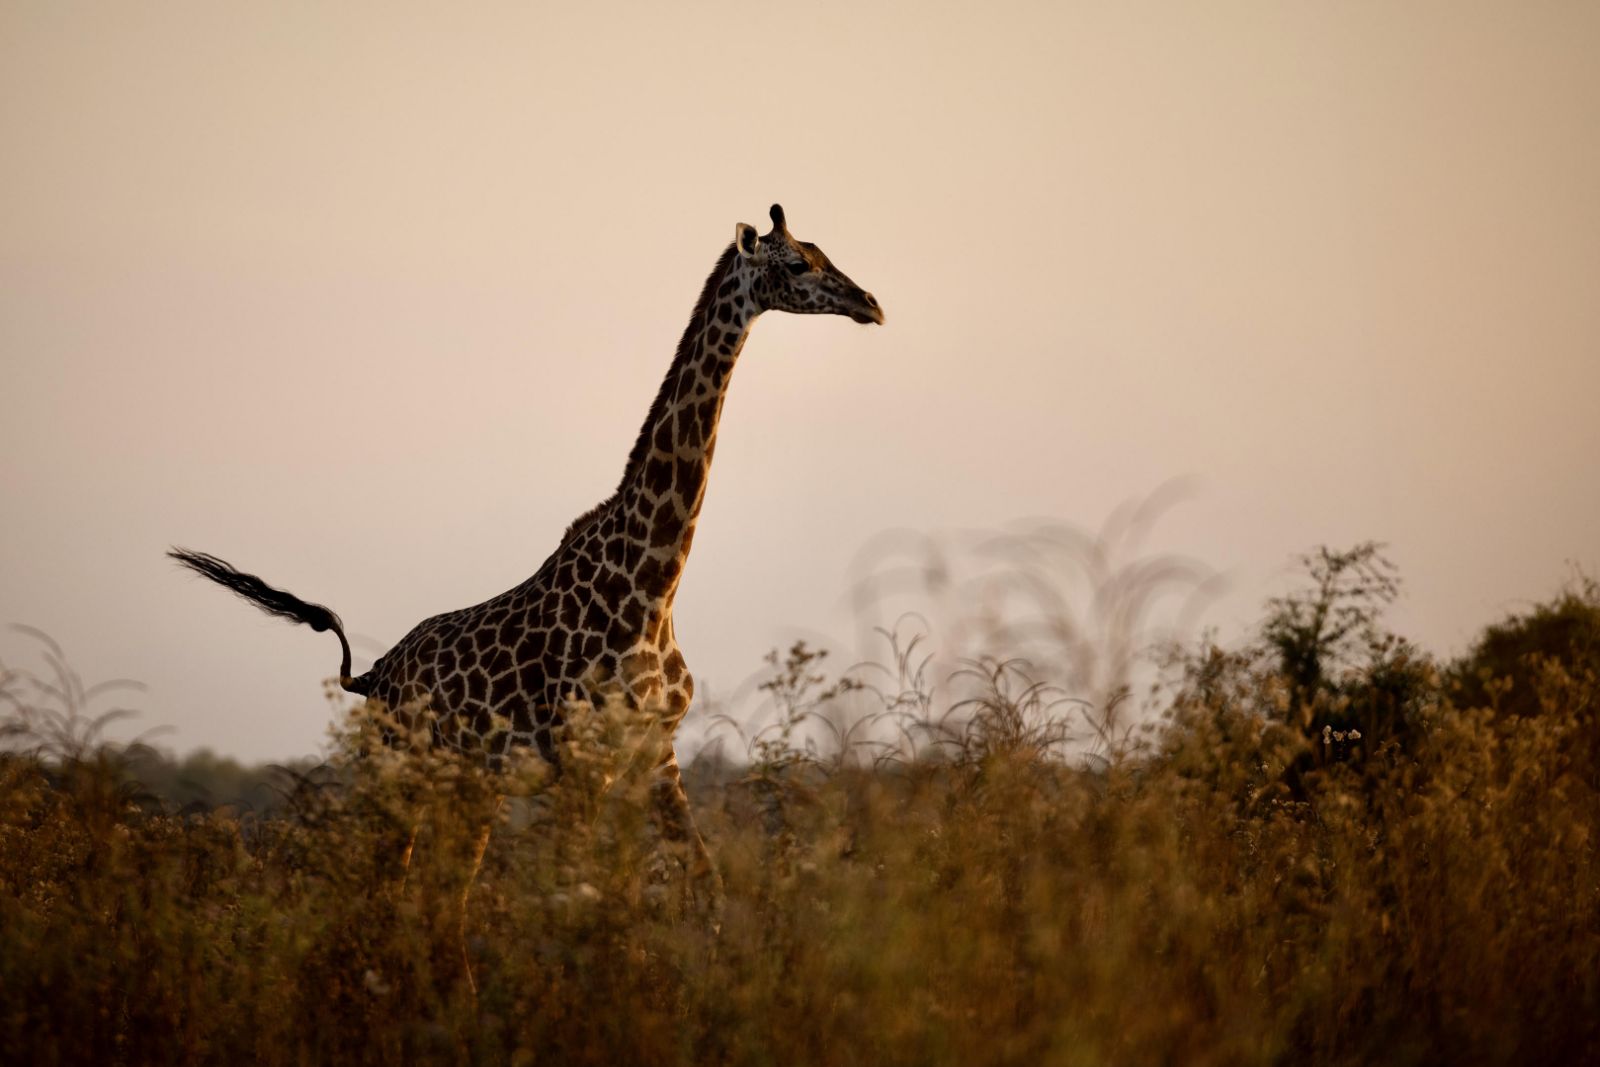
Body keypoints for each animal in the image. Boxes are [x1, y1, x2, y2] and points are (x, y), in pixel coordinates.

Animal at [170, 202, 883, 901]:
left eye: (823, 252)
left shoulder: (656, 754)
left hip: (469, 786)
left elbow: (702, 889)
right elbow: (576, 897)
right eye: (798, 263)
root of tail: (370, 677)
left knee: (438, 901)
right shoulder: (583, 763)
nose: (872, 303)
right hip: (395, 772)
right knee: (380, 893)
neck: (655, 584)